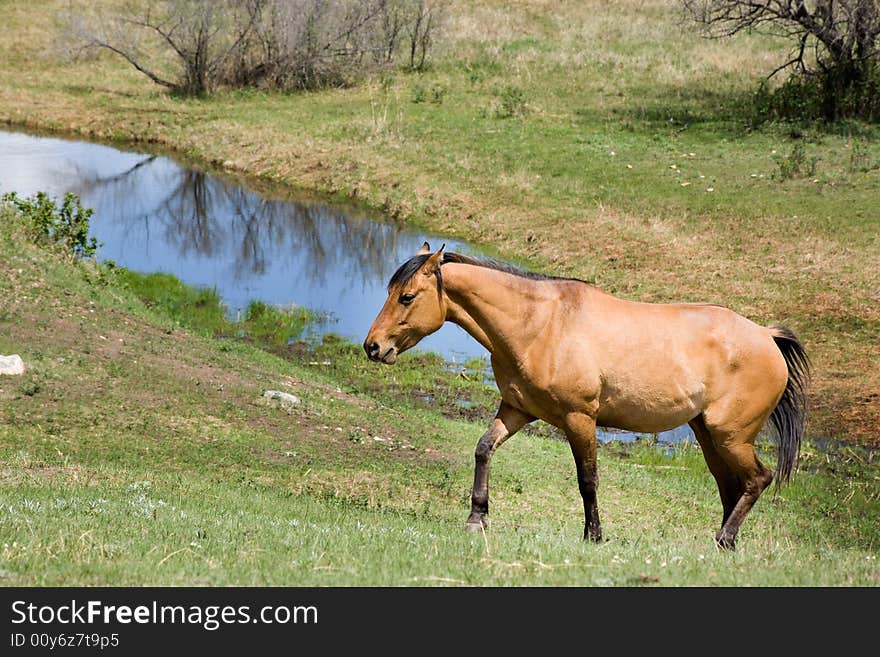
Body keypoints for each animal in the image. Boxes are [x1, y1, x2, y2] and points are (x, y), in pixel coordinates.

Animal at [360, 242, 808, 548]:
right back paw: (724, 541)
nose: (373, 347)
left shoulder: (579, 419)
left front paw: (594, 534)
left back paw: (724, 539)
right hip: (709, 436)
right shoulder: (517, 409)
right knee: (732, 485)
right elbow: (484, 449)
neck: (541, 323)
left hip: (730, 436)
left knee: (757, 479)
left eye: (407, 297)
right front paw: (477, 518)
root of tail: (767, 337)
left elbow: (587, 479)